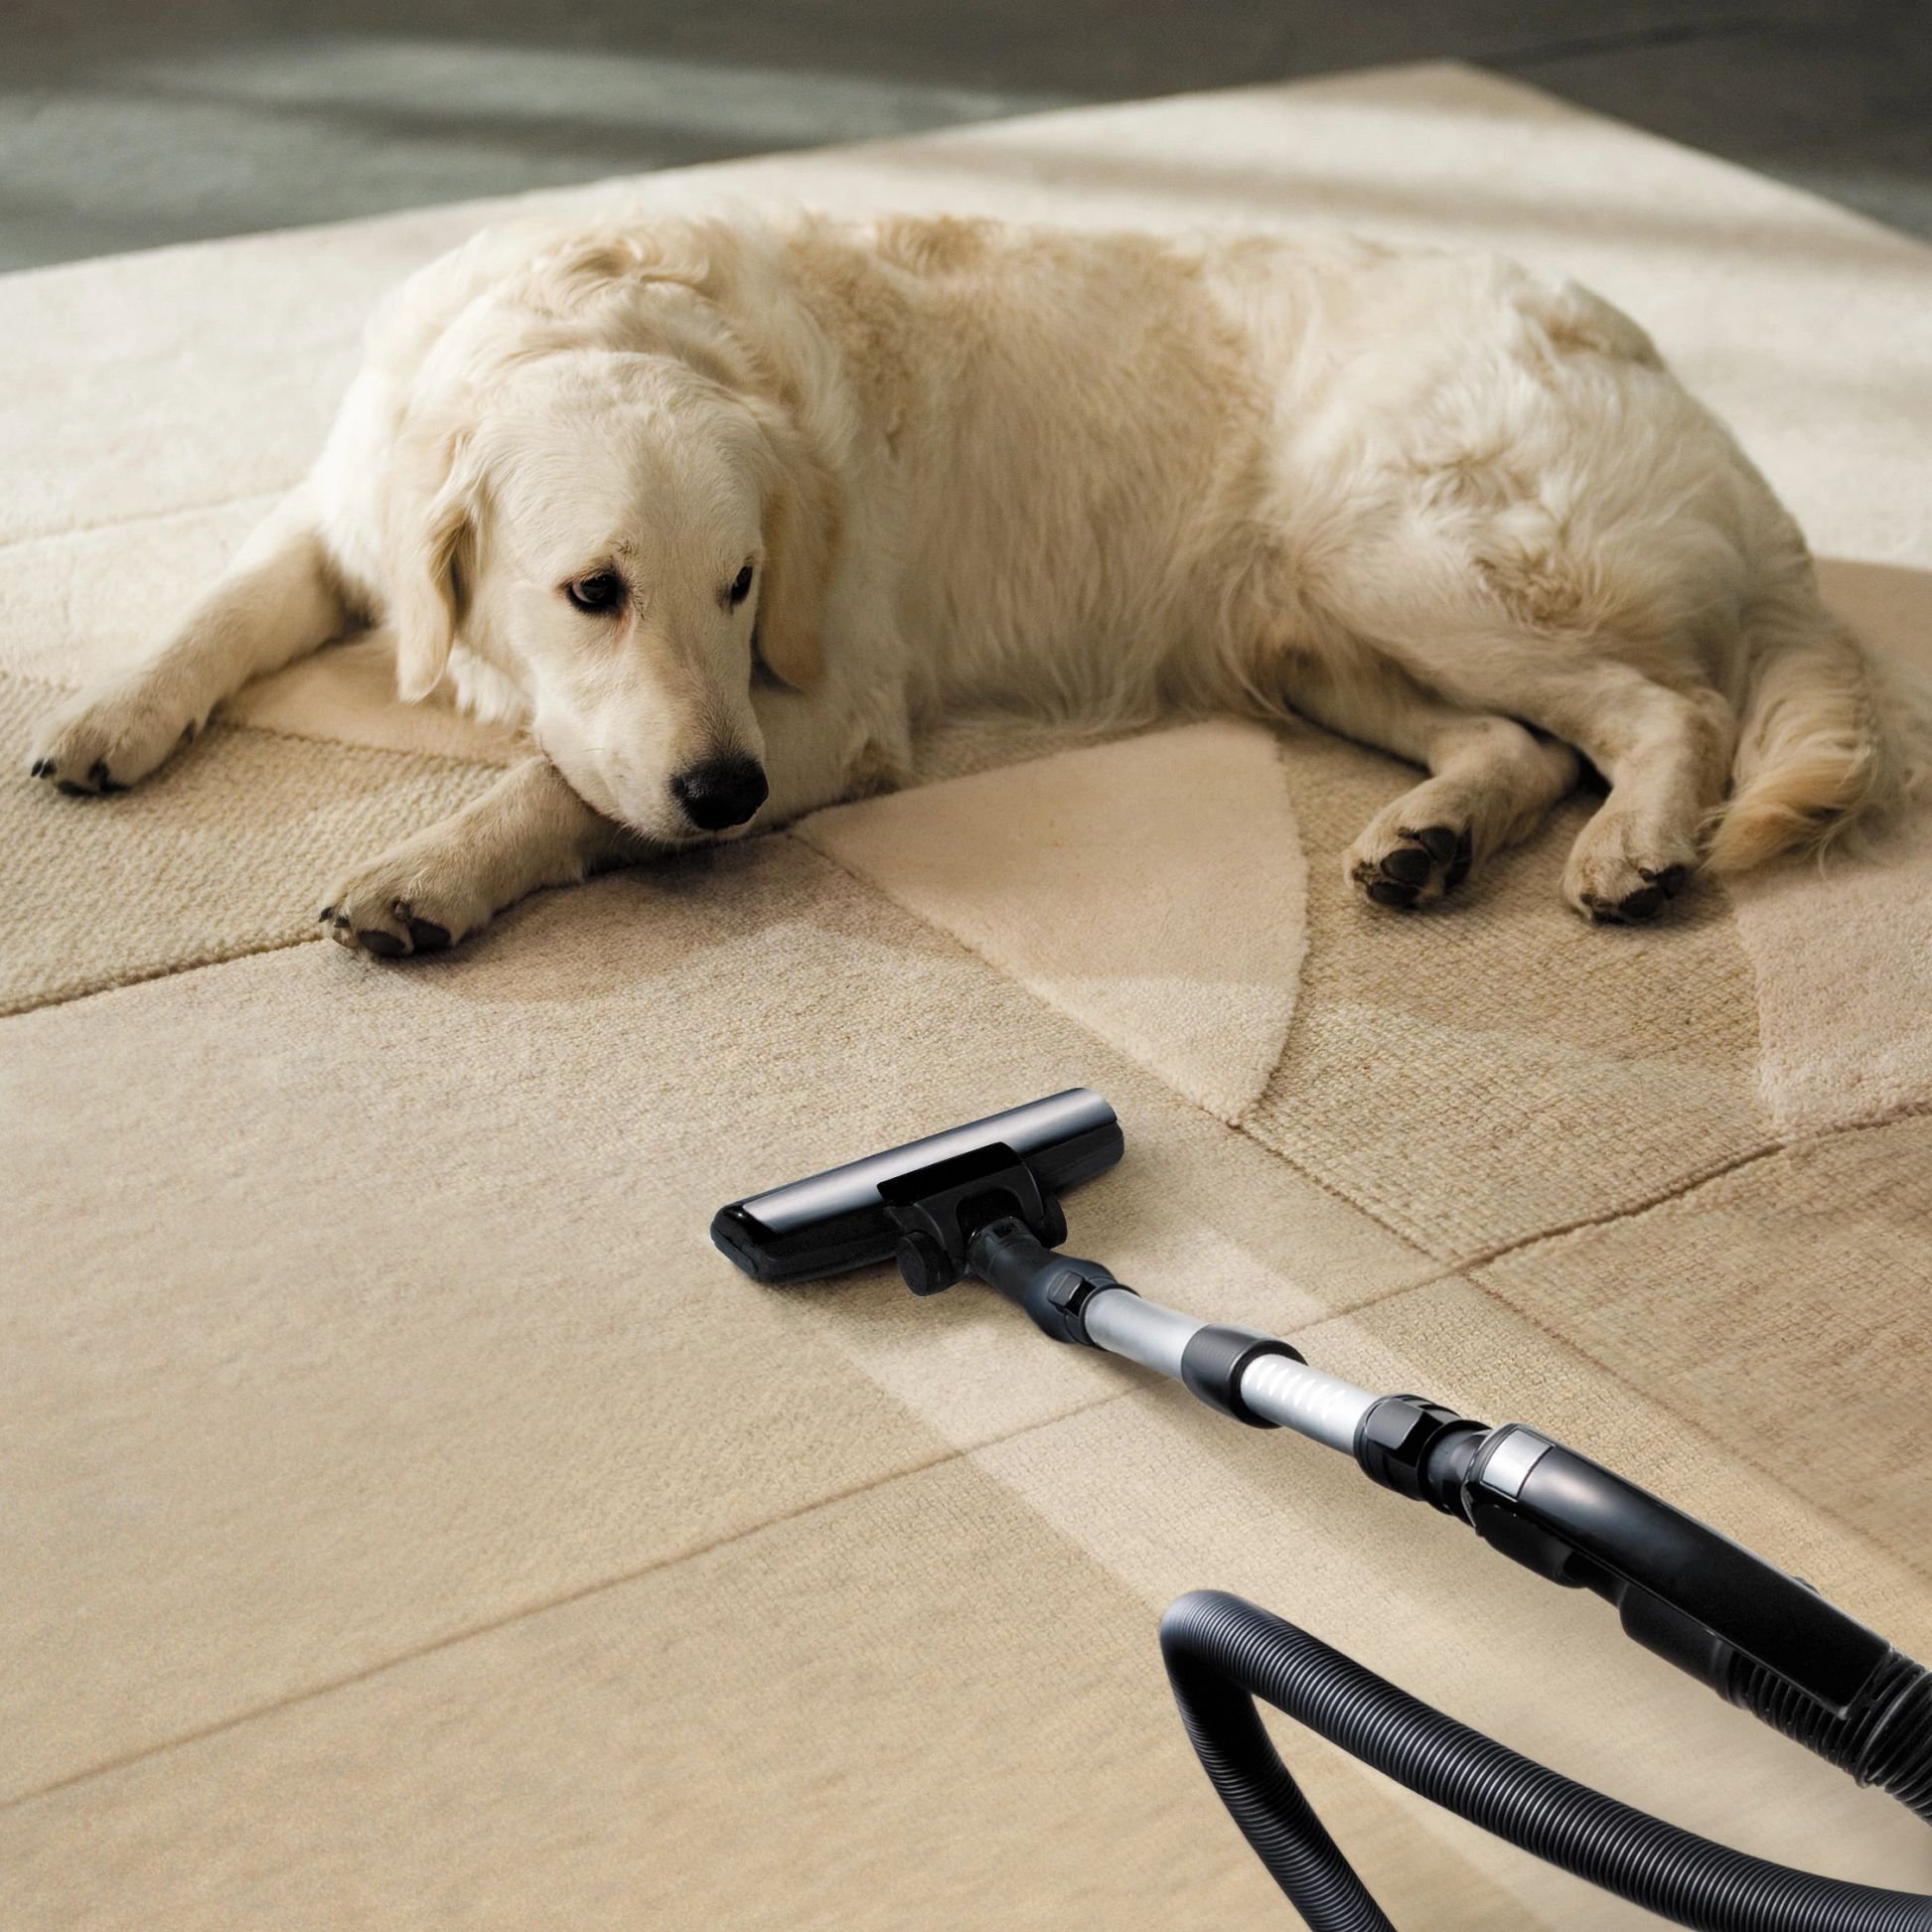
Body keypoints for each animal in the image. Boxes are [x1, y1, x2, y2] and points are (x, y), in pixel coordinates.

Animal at [22, 210, 1924, 950]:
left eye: (743, 583)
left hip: (1401, 552)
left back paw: (1637, 847)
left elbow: (560, 786)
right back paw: (1429, 839)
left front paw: (430, 871)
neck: (586, 313)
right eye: (593, 590)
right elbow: (214, 608)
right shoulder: (342, 508)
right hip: (1308, 623)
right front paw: (106, 718)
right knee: (1525, 740)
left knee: (1660, 705)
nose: (724, 797)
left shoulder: (828, 707)